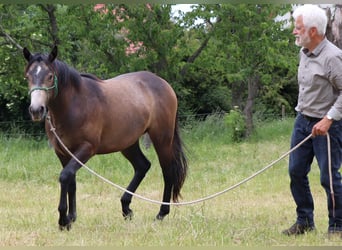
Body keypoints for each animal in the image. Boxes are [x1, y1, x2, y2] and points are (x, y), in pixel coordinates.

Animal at [22, 45, 188, 230]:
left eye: (50, 76)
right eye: (27, 76)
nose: (36, 110)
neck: (74, 105)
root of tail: (163, 83)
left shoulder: (87, 148)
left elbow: (65, 176)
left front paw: (63, 220)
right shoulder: (63, 152)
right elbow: (71, 180)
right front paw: (71, 217)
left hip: (162, 139)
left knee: (168, 172)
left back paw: (161, 213)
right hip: (128, 143)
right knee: (142, 166)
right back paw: (126, 207)